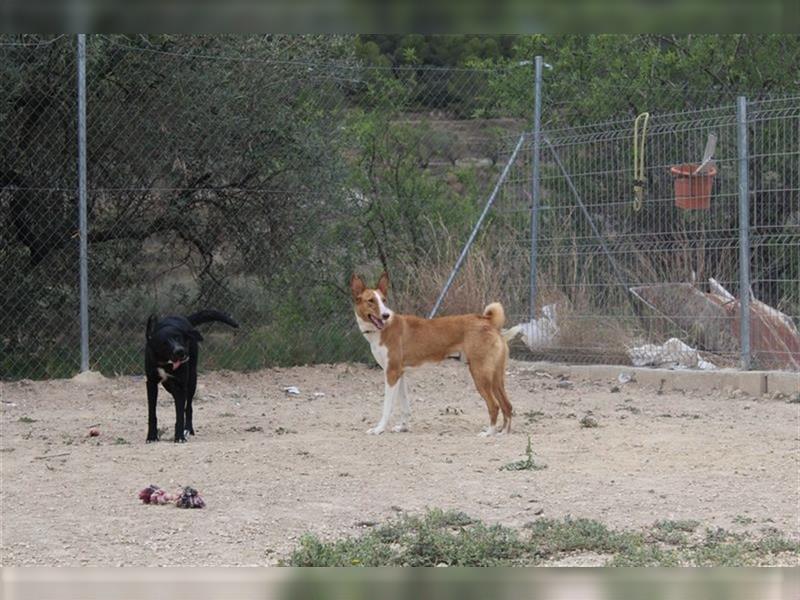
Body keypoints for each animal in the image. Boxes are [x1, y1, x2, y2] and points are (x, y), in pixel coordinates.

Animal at [145, 312, 238, 442]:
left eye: (178, 338)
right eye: (164, 343)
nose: (180, 351)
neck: (165, 363)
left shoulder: (180, 386)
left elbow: (180, 414)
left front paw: (179, 437)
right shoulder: (151, 383)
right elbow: (152, 413)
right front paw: (152, 436)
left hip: (192, 381)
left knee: (188, 407)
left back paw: (188, 429)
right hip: (169, 384)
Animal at [352, 272, 516, 436]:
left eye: (384, 300)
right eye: (371, 301)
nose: (385, 315)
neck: (382, 330)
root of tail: (487, 321)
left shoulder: (391, 373)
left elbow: (387, 407)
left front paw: (378, 429)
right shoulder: (399, 373)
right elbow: (405, 406)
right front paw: (403, 427)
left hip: (480, 374)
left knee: (494, 405)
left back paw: (489, 432)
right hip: (495, 378)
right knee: (507, 405)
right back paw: (503, 432)